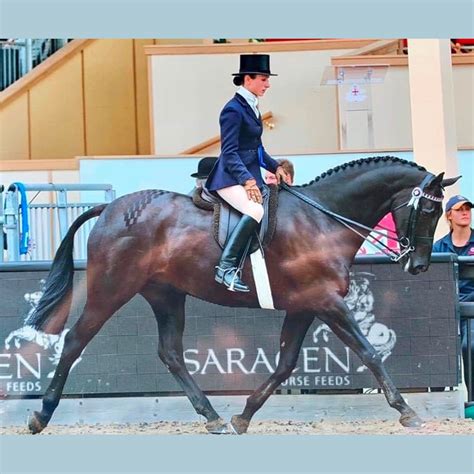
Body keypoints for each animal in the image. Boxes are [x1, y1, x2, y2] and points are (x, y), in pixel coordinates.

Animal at [25, 156, 456, 434]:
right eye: (429, 212)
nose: (419, 264)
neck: (324, 220)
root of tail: (110, 208)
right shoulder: (327, 302)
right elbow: (369, 353)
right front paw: (407, 411)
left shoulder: (305, 306)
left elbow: (285, 364)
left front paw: (244, 415)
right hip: (111, 288)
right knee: (75, 340)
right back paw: (41, 416)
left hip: (167, 296)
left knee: (170, 353)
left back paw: (213, 417)